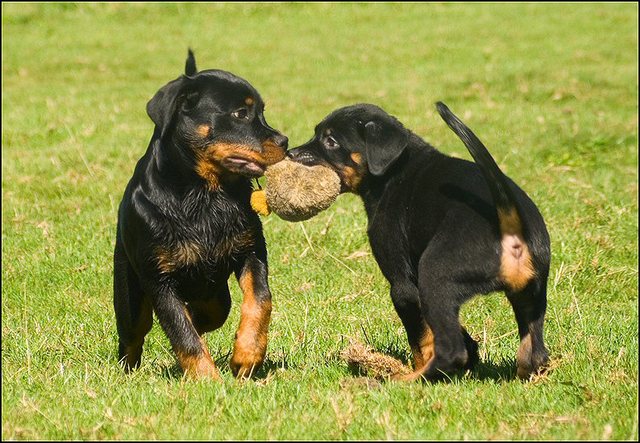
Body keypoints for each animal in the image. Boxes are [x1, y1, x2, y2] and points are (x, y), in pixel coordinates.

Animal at [114, 50, 286, 380]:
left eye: (261, 111)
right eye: (240, 114)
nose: (284, 141)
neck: (205, 194)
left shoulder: (252, 251)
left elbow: (261, 300)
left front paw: (247, 355)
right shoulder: (159, 280)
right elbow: (183, 334)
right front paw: (207, 380)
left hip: (215, 295)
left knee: (207, 314)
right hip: (130, 293)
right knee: (132, 336)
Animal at [288, 102, 552, 380]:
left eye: (331, 141)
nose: (291, 153)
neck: (392, 173)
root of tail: (507, 220)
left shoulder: (403, 286)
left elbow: (421, 339)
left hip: (436, 277)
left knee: (451, 349)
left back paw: (412, 379)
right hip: (531, 293)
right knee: (534, 352)